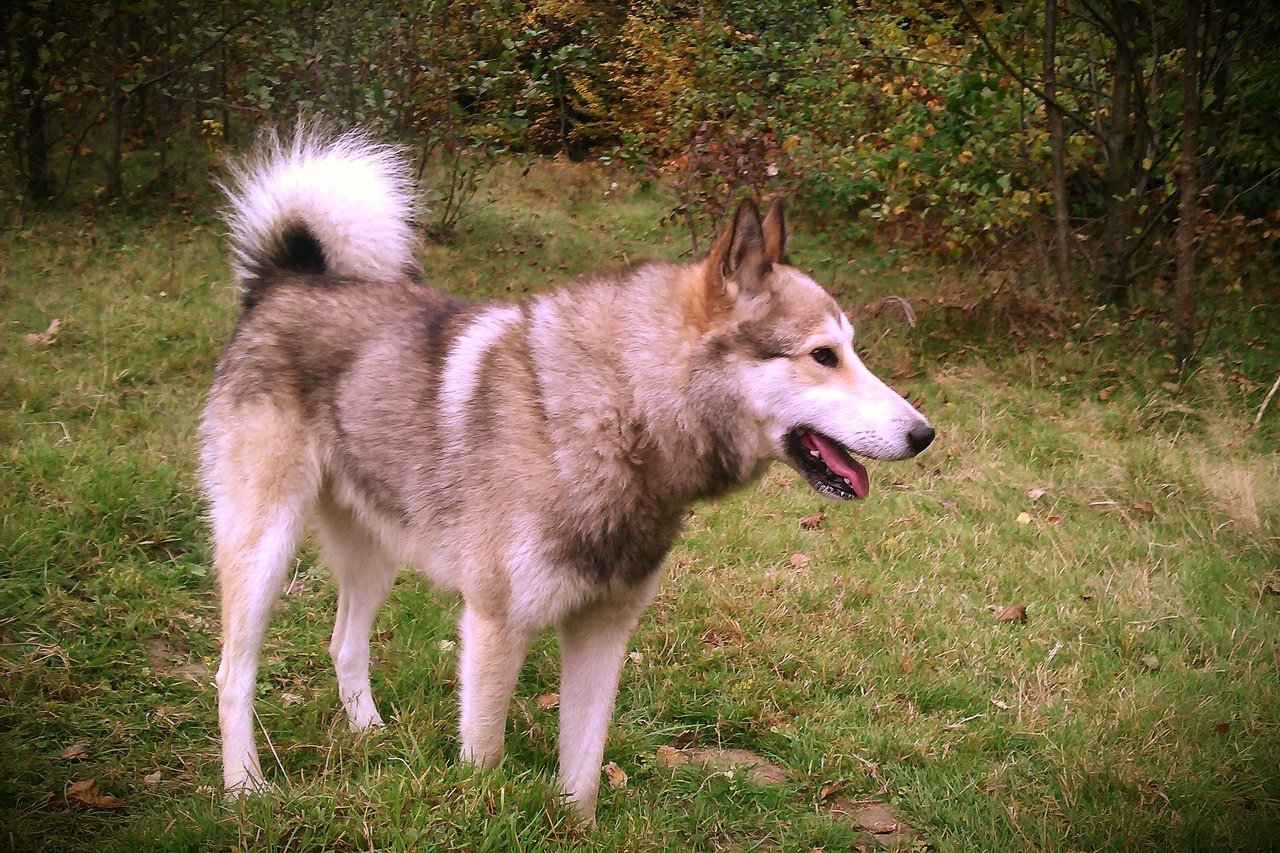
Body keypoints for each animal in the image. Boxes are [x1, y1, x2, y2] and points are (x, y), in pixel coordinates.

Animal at [204, 126, 936, 819]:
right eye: (823, 355)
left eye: (852, 350)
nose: (924, 434)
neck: (620, 414)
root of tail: (284, 281)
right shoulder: (496, 626)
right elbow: (484, 760)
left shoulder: (602, 632)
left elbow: (581, 775)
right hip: (264, 549)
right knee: (232, 673)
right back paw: (244, 787)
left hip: (374, 550)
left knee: (344, 646)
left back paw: (371, 736)